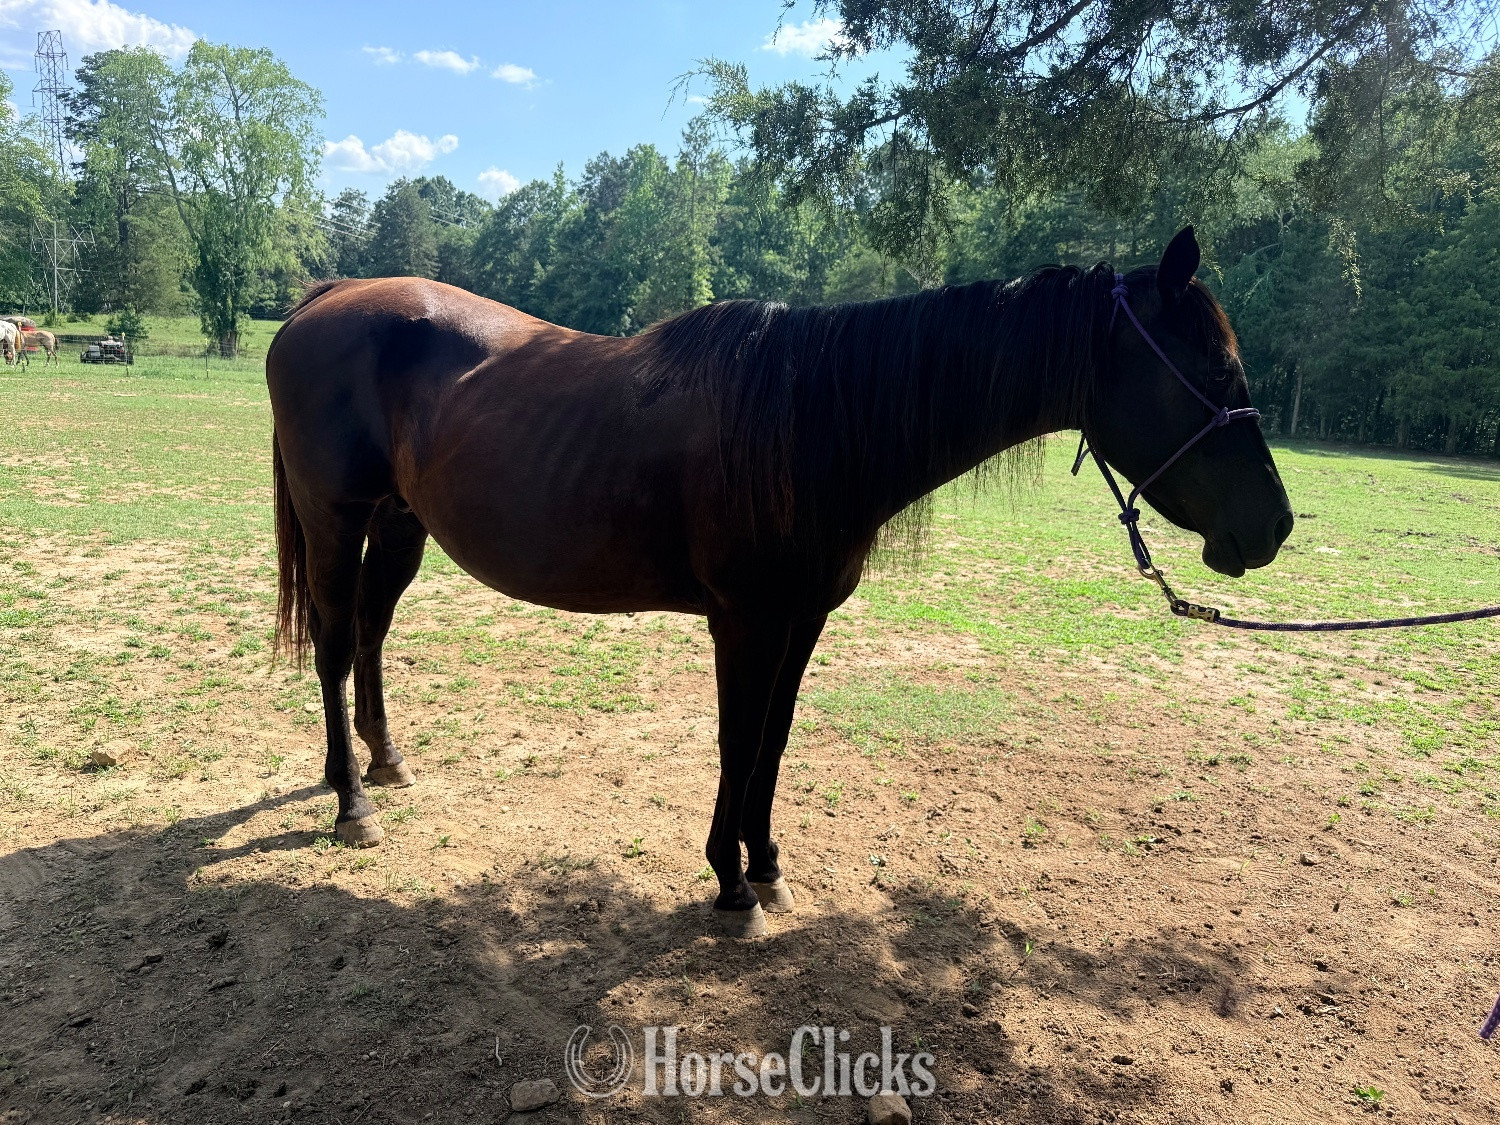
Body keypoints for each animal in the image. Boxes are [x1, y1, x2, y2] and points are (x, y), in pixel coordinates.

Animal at [267, 226, 1293, 936]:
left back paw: (385, 762)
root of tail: (329, 297)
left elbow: (775, 742)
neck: (812, 419)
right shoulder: (746, 622)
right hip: (336, 517)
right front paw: (728, 883)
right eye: (1211, 368)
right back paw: (351, 802)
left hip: (400, 523)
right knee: (333, 642)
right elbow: (737, 740)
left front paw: (765, 865)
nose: (1275, 525)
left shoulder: (802, 621)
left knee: (369, 634)